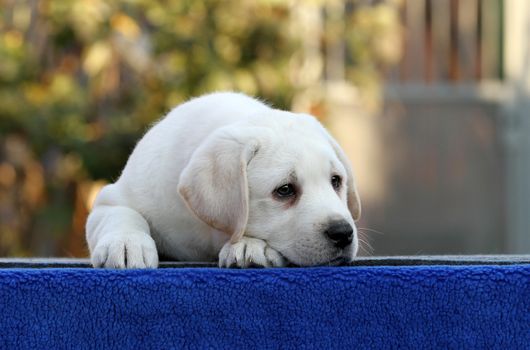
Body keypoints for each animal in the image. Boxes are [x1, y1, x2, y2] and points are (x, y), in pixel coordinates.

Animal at [85, 92, 358, 268]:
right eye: (285, 190)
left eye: (336, 181)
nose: (343, 233)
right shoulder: (110, 200)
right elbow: (122, 214)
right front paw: (126, 244)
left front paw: (249, 246)